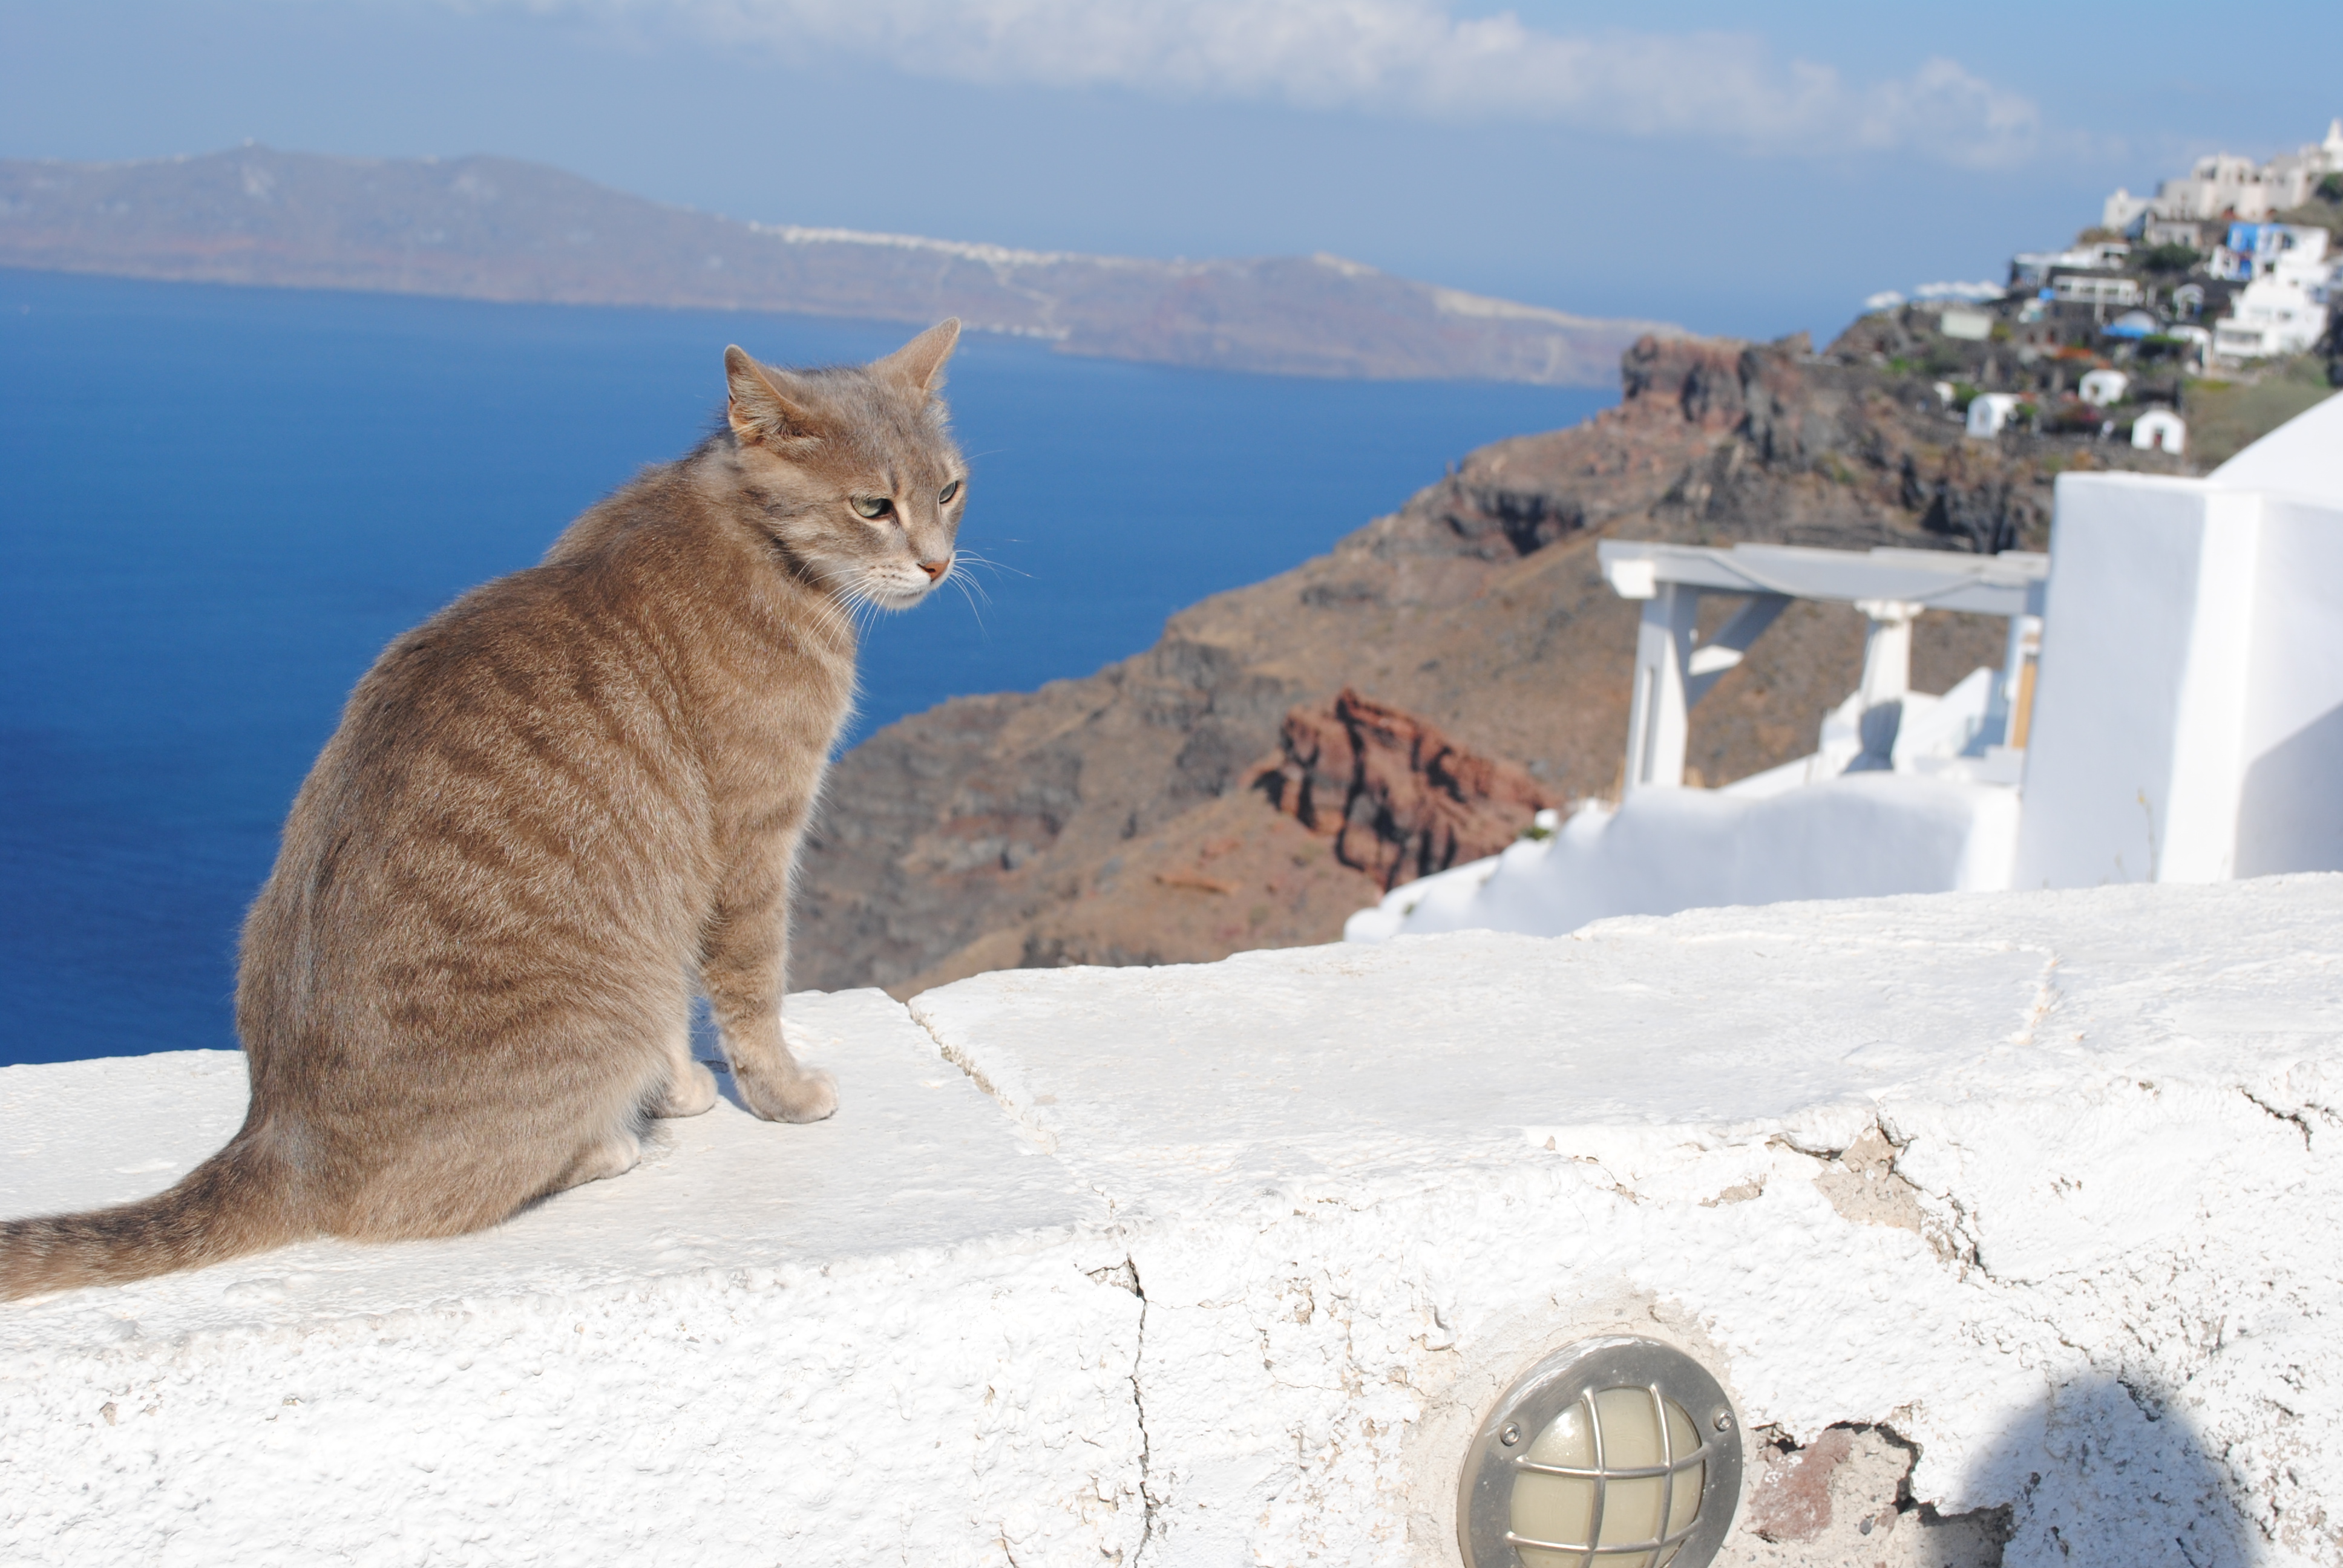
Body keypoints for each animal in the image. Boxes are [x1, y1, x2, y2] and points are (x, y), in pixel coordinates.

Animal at [0, 318, 970, 1293]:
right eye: (873, 507)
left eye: (950, 491)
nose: (938, 561)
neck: (739, 521)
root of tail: (281, 1136)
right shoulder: (751, 839)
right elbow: (751, 987)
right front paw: (778, 1093)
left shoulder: (677, 880)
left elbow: (680, 996)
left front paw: (677, 1090)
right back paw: (607, 1145)